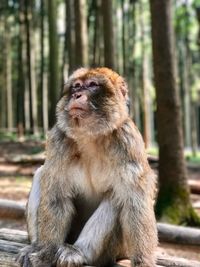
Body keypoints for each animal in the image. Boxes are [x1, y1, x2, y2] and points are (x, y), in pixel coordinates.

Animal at [16, 67, 158, 267]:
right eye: (76, 86)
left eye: (92, 85)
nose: (77, 95)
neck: (90, 137)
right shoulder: (58, 138)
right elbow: (56, 195)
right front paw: (46, 253)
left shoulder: (127, 141)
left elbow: (134, 201)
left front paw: (143, 262)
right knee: (40, 174)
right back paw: (36, 246)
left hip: (116, 250)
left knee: (117, 197)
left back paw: (79, 252)